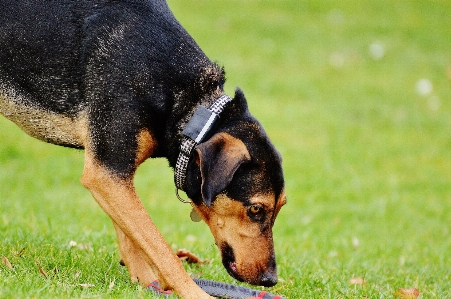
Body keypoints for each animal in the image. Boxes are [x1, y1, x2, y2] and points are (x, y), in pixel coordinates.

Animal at [0, 1, 286, 298]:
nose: (270, 280)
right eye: (255, 209)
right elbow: (160, 248)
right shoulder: (107, 174)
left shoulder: (113, 176)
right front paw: (194, 292)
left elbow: (132, 237)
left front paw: (145, 283)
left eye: (281, 206)